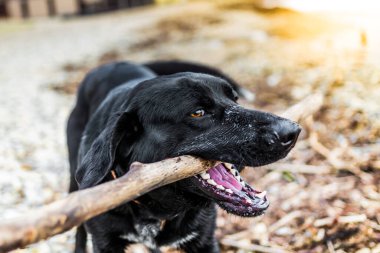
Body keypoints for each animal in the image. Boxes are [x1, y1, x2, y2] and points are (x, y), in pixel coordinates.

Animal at [67, 60, 302, 253]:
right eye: (198, 113)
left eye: (235, 99)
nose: (292, 131)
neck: (155, 210)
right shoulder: (105, 241)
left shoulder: (203, 240)